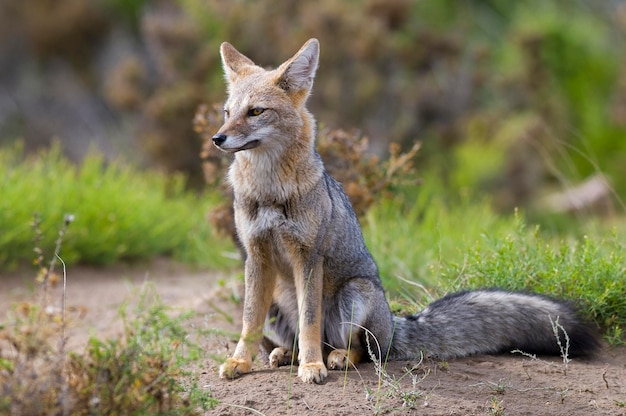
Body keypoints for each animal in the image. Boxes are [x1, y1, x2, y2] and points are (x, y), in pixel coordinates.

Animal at [212, 38, 596, 384]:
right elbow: (248, 322)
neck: (269, 190)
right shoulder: (256, 256)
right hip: (278, 301)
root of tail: (395, 324)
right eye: (227, 113)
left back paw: (332, 358)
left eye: (256, 111)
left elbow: (309, 323)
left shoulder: (308, 257)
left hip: (355, 295)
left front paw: (311, 368)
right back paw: (286, 354)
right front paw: (240, 362)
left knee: (360, 350)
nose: (217, 138)